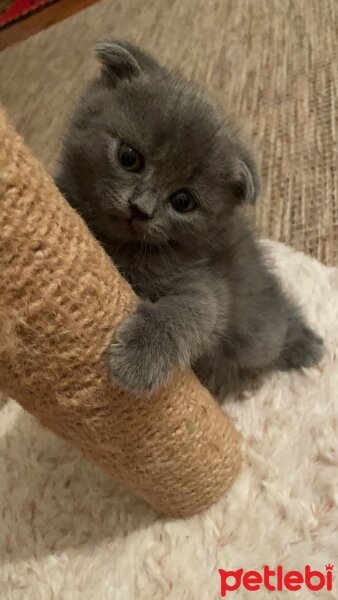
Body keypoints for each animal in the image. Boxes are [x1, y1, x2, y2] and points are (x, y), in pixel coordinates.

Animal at [54, 42, 322, 398]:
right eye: (129, 158)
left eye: (183, 202)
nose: (140, 208)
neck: (119, 246)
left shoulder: (204, 282)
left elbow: (190, 309)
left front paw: (138, 359)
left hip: (258, 337)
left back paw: (304, 346)